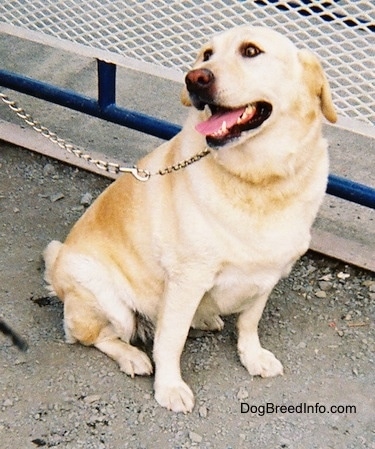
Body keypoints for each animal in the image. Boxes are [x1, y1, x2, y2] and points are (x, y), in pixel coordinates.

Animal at [44, 26, 338, 412]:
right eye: (206, 54)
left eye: (251, 51)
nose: (195, 78)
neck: (259, 179)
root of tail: (56, 264)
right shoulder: (186, 279)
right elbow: (171, 341)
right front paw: (169, 387)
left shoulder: (270, 273)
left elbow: (249, 321)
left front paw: (252, 356)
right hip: (105, 296)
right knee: (93, 335)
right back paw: (132, 356)